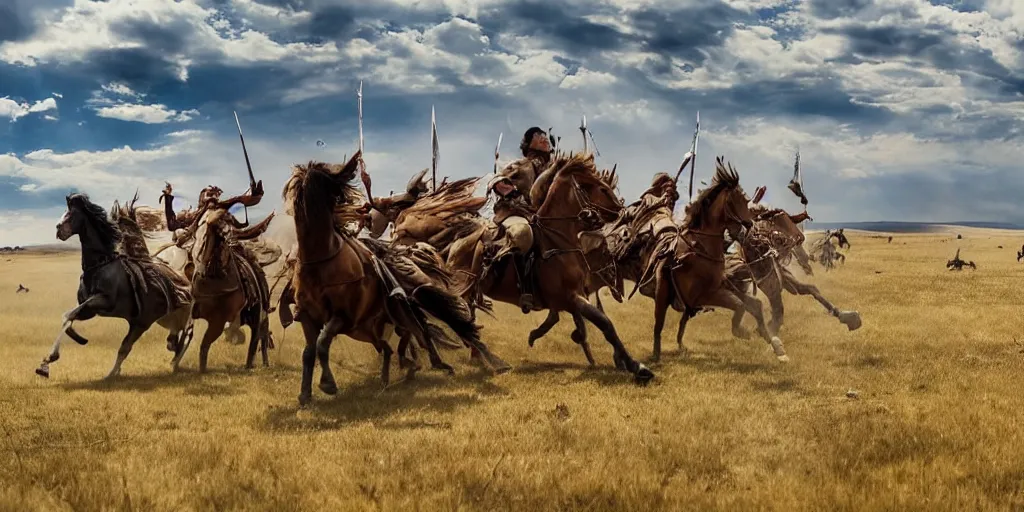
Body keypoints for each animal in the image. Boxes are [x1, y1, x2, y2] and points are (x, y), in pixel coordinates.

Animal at [36, 193, 194, 378]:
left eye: (71, 214)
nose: (58, 230)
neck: (99, 266)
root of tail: (186, 281)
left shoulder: (103, 301)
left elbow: (69, 315)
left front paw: (48, 361)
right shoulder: (89, 310)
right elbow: (68, 318)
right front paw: (73, 341)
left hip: (146, 322)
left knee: (185, 334)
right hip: (160, 319)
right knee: (170, 338)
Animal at [282, 153, 509, 405]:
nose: (360, 210)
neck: (321, 260)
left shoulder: (343, 316)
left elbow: (322, 344)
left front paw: (328, 384)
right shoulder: (307, 316)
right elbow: (309, 352)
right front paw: (305, 394)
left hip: (400, 305)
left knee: (416, 330)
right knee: (399, 340)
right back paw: (398, 373)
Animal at [647, 157, 782, 362]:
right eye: (736, 200)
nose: (749, 225)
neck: (701, 246)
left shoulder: (720, 289)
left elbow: (748, 305)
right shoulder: (704, 295)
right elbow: (741, 306)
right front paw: (742, 332)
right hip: (663, 295)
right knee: (659, 324)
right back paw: (656, 354)